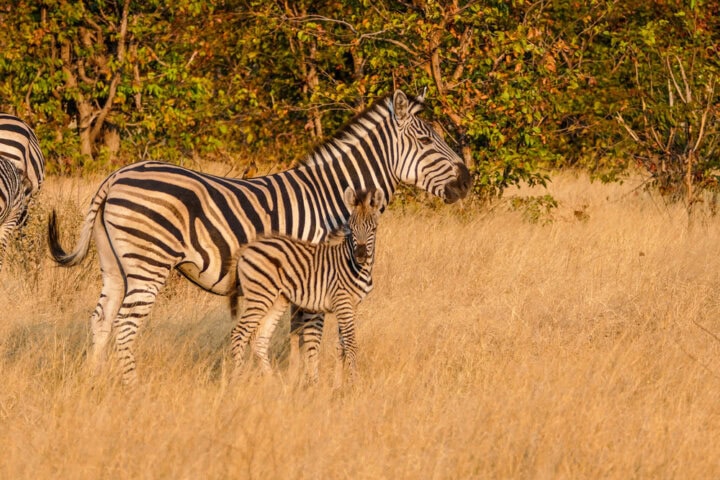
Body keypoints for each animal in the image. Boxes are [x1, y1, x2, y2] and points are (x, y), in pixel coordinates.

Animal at [232, 187, 383, 386]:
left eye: (373, 229)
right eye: (351, 228)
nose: (360, 255)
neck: (353, 265)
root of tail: (247, 247)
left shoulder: (353, 304)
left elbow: (341, 344)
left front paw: (340, 384)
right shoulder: (342, 301)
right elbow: (351, 343)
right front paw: (355, 384)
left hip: (277, 299)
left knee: (260, 337)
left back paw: (273, 382)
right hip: (260, 295)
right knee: (239, 333)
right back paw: (236, 379)